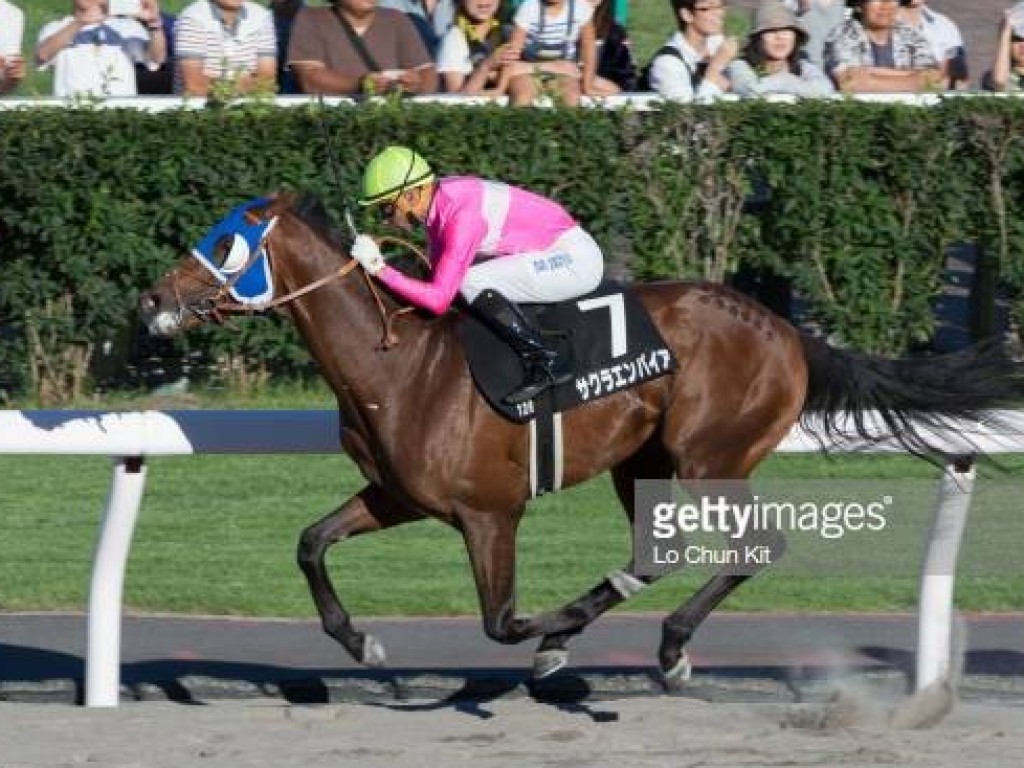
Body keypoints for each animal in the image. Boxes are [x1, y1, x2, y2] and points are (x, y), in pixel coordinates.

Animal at [138, 193, 1024, 684]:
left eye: (224, 245)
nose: (149, 300)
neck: (395, 362)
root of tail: (787, 330)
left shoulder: (490, 514)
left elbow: (504, 622)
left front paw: (552, 636)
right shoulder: (398, 494)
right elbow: (310, 543)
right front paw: (361, 643)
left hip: (709, 457)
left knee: (754, 546)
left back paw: (664, 643)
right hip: (645, 462)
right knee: (659, 552)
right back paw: (652, 633)